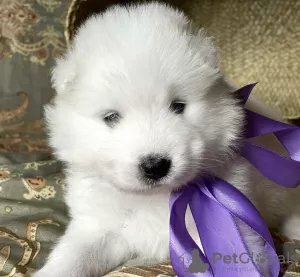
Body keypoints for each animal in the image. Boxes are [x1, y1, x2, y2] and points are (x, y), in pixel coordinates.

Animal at [34, 2, 300, 276]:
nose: (155, 166)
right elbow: (73, 257)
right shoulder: (97, 226)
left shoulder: (232, 220)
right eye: (111, 117)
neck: (154, 196)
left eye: (178, 106)